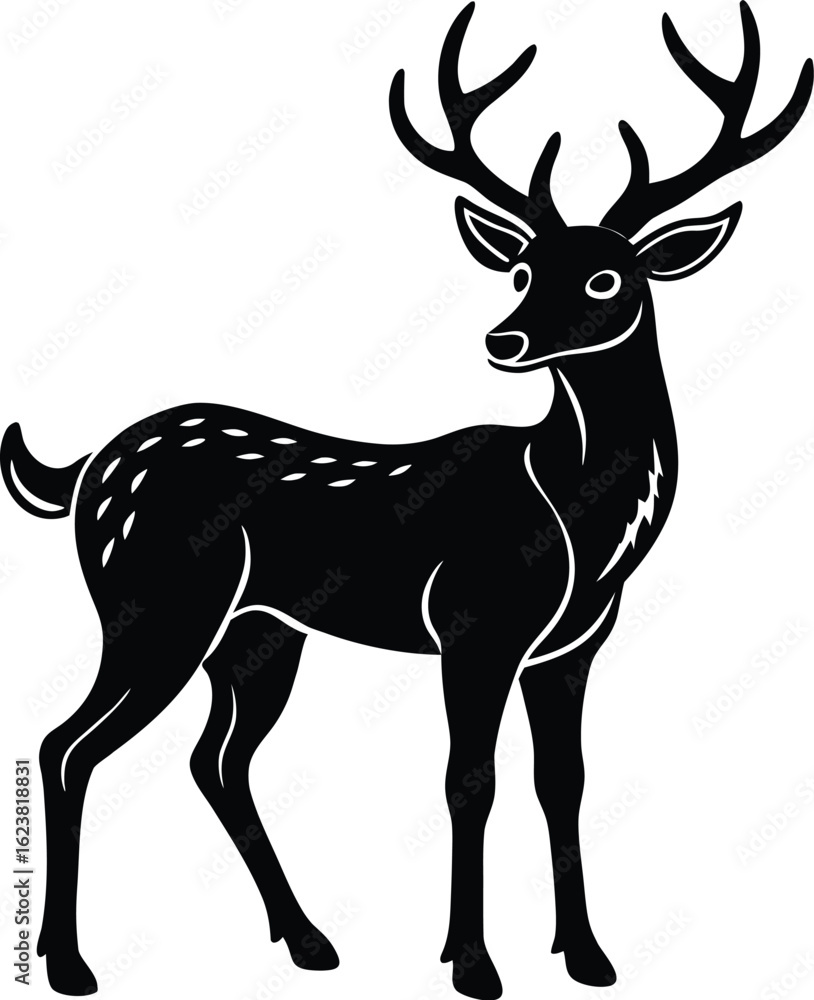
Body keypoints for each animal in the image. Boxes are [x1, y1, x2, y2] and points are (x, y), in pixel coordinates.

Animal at [2, 3, 810, 997]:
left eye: (606, 276)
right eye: (520, 270)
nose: (505, 339)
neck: (579, 528)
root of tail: (84, 470)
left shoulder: (571, 649)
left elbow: (564, 782)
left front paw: (587, 954)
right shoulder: (473, 621)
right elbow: (470, 781)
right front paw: (472, 963)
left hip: (257, 635)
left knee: (214, 760)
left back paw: (309, 940)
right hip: (151, 604)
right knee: (66, 745)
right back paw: (71, 962)